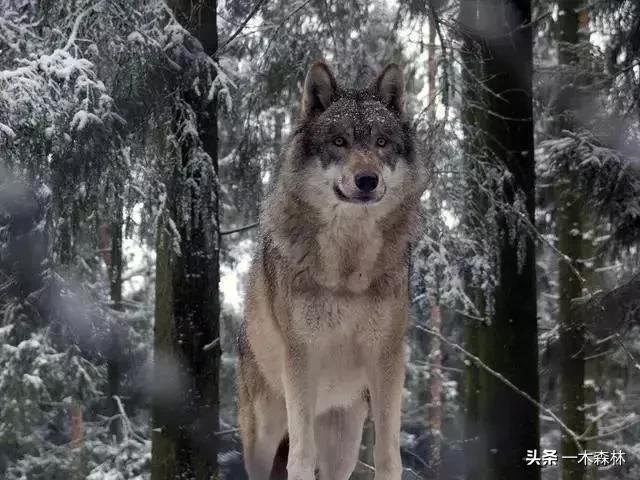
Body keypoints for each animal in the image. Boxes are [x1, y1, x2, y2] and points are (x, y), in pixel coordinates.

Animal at [238, 61, 428, 480]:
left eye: (381, 142)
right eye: (339, 141)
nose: (367, 179)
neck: (349, 268)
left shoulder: (388, 357)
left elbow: (388, 455)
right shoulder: (301, 356)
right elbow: (301, 458)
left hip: (343, 444)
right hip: (264, 432)